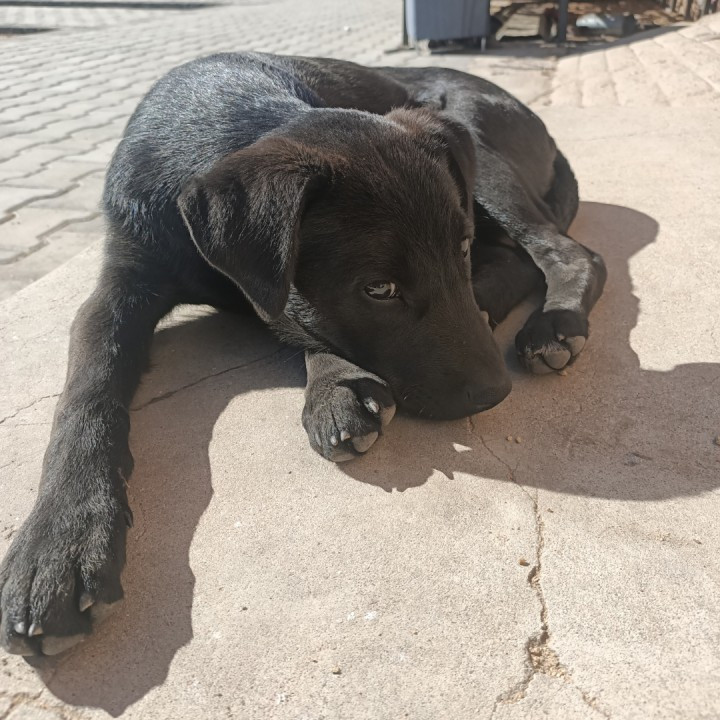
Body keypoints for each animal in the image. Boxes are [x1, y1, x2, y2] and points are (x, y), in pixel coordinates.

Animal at [0, 53, 606, 655]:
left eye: (458, 248)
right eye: (378, 289)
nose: (494, 395)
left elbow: (295, 317)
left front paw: (333, 386)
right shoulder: (122, 283)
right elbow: (89, 387)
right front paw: (60, 539)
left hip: (487, 163)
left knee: (567, 252)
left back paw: (550, 322)